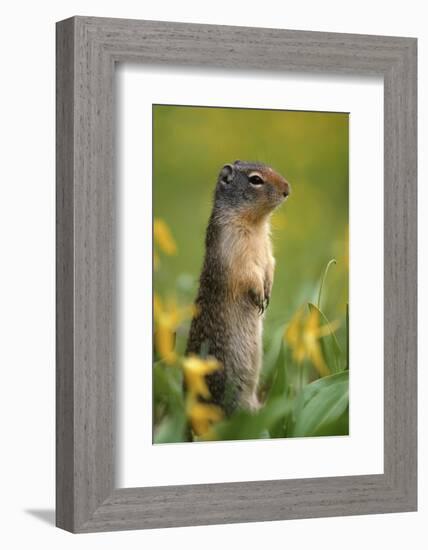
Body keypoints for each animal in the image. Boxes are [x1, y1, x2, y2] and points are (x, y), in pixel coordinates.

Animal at [185, 162, 290, 416]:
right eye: (255, 180)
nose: (287, 189)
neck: (256, 224)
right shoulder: (233, 248)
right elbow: (247, 274)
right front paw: (260, 295)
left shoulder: (267, 248)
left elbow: (270, 263)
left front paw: (268, 291)